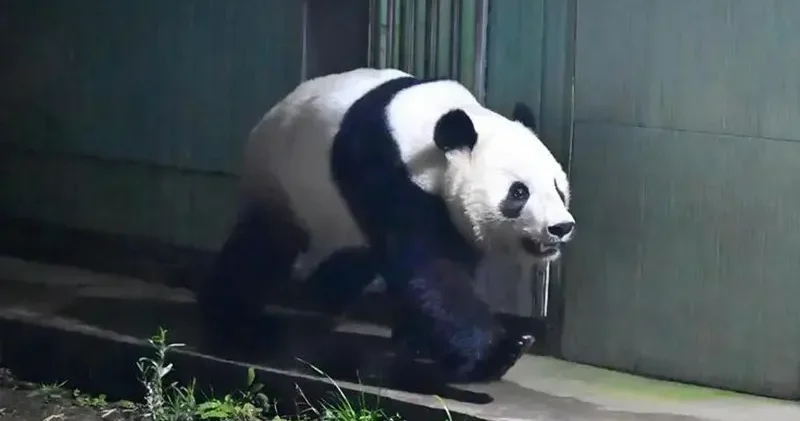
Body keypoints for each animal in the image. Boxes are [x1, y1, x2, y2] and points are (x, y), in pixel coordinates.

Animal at [197, 68, 575, 383]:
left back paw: (317, 303)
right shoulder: (384, 171)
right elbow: (432, 270)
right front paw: (500, 352)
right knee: (261, 248)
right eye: (519, 192)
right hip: (281, 181)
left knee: (349, 261)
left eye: (558, 188)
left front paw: (419, 342)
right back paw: (235, 322)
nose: (560, 227)